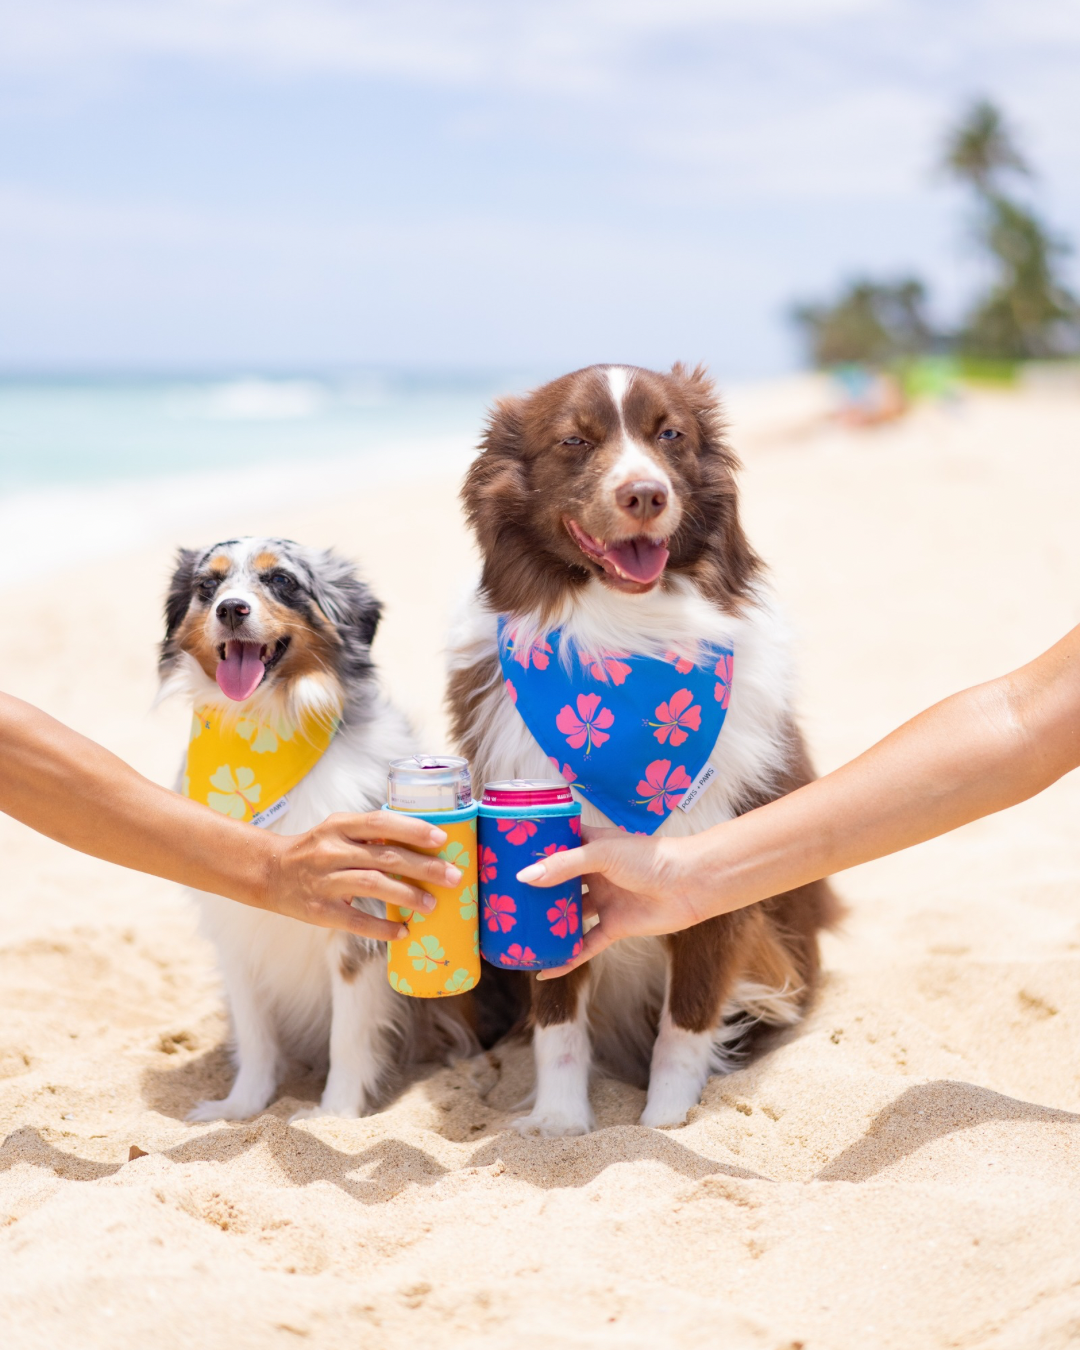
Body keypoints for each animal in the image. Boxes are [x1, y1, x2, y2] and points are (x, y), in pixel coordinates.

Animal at [448, 364, 842, 1134]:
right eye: (574, 441)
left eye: (671, 435)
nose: (645, 494)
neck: (626, 635)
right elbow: (557, 1018)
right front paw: (561, 1123)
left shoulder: (716, 875)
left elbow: (686, 1023)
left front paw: (666, 1121)